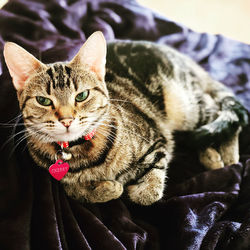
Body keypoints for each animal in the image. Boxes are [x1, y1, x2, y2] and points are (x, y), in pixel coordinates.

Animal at [2, 31, 247, 205]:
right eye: (43, 100)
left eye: (81, 96)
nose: (66, 120)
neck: (80, 152)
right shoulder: (60, 180)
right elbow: (75, 191)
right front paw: (106, 188)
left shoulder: (157, 140)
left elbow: (150, 193)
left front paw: (128, 188)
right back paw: (210, 153)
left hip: (184, 105)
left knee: (221, 113)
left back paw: (226, 155)